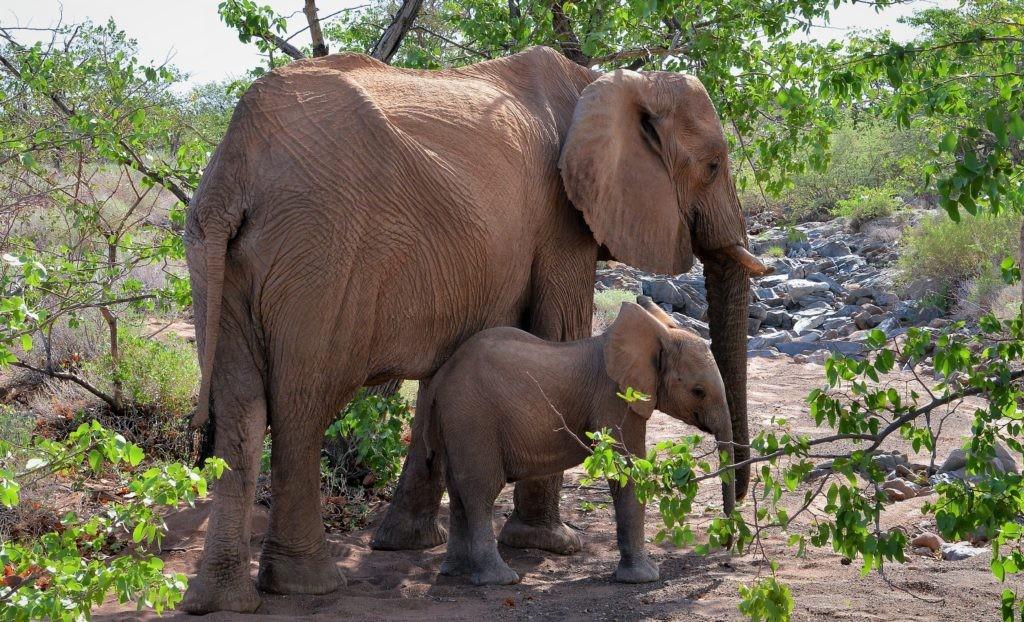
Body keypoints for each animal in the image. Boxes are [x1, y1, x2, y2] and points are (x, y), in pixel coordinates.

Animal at [423, 299, 737, 586]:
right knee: (481, 490)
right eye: (698, 391)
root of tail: (440, 378)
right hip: (474, 419)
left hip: (455, 422)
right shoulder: (616, 399)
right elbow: (627, 471)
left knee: (458, 490)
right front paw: (644, 578)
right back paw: (500, 579)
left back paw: (455, 571)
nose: (726, 549)